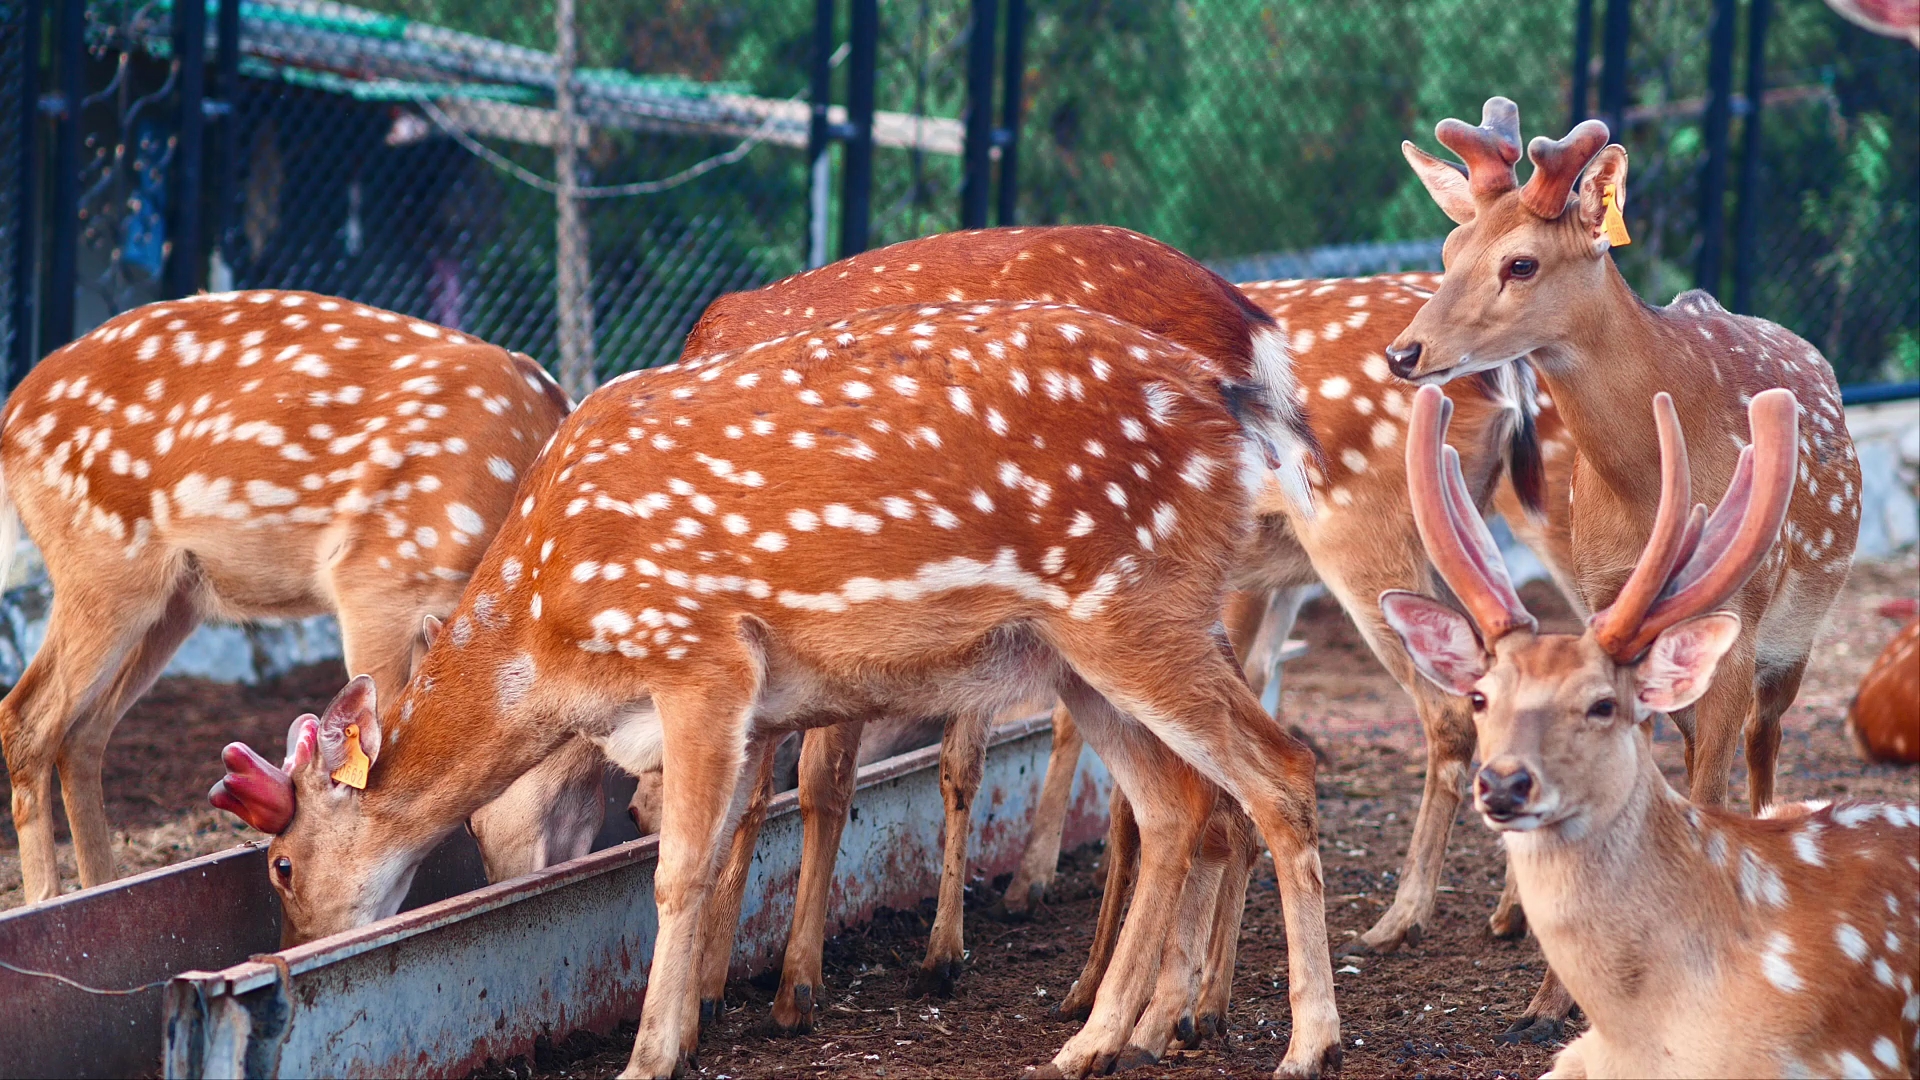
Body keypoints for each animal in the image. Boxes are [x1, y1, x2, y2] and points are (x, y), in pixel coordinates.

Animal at [0, 290, 568, 903]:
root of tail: (11, 417)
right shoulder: (375, 579)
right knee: (27, 718)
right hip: (102, 560)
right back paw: (47, 898)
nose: (516, 873)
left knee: (83, 733)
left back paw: (98, 888)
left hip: (175, 597)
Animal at [210, 295, 1344, 1076]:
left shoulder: (699, 653)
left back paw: (1304, 1043)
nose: (296, 952)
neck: (549, 632)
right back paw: (1099, 1041)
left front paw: (649, 1056)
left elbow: (678, 870)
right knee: (1176, 804)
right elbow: (722, 849)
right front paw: (692, 1025)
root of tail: (1237, 417)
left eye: (279, 864)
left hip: (1136, 604)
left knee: (1282, 770)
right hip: (1078, 652)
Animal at [1390, 384, 1912, 1076]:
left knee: (1758, 739)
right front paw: (1538, 1013)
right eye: (1479, 697)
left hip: (1787, 653)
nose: (1503, 784)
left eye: (1602, 705)